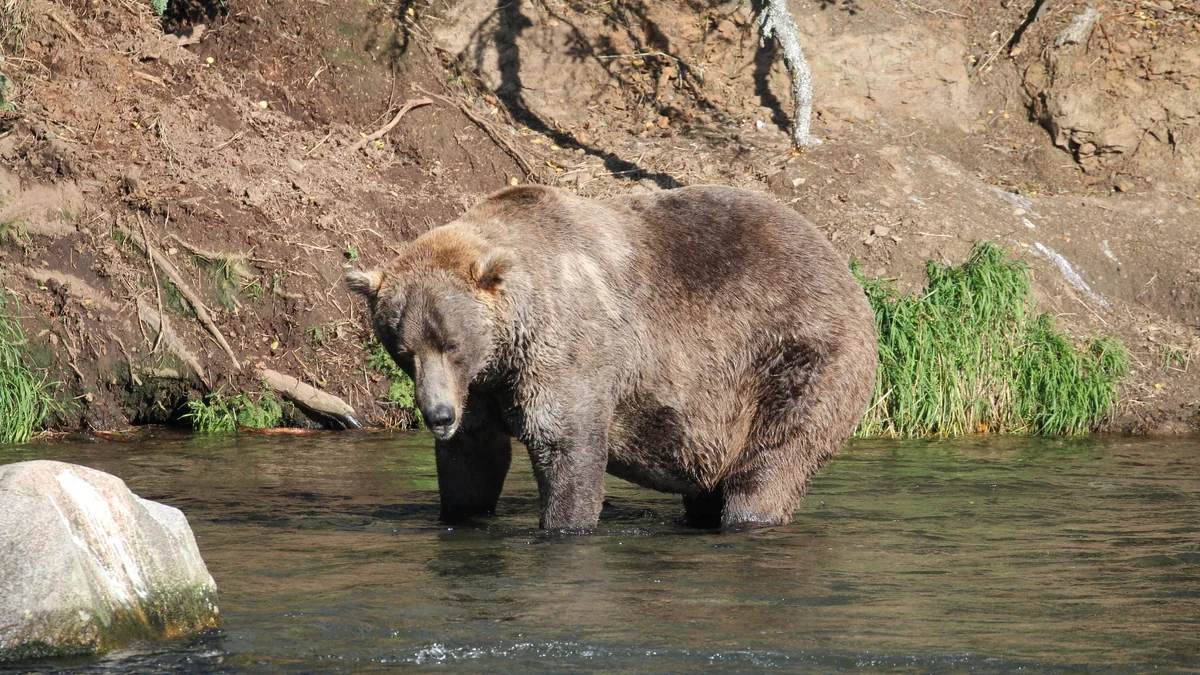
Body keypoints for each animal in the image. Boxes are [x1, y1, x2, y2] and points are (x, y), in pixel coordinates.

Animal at [346, 184, 877, 532]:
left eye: (452, 344)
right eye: (403, 350)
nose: (438, 415)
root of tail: (843, 267)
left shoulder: (568, 351)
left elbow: (567, 446)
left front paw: (564, 523)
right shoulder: (482, 388)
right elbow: (472, 460)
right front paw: (462, 512)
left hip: (795, 356)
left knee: (773, 460)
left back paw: (749, 516)